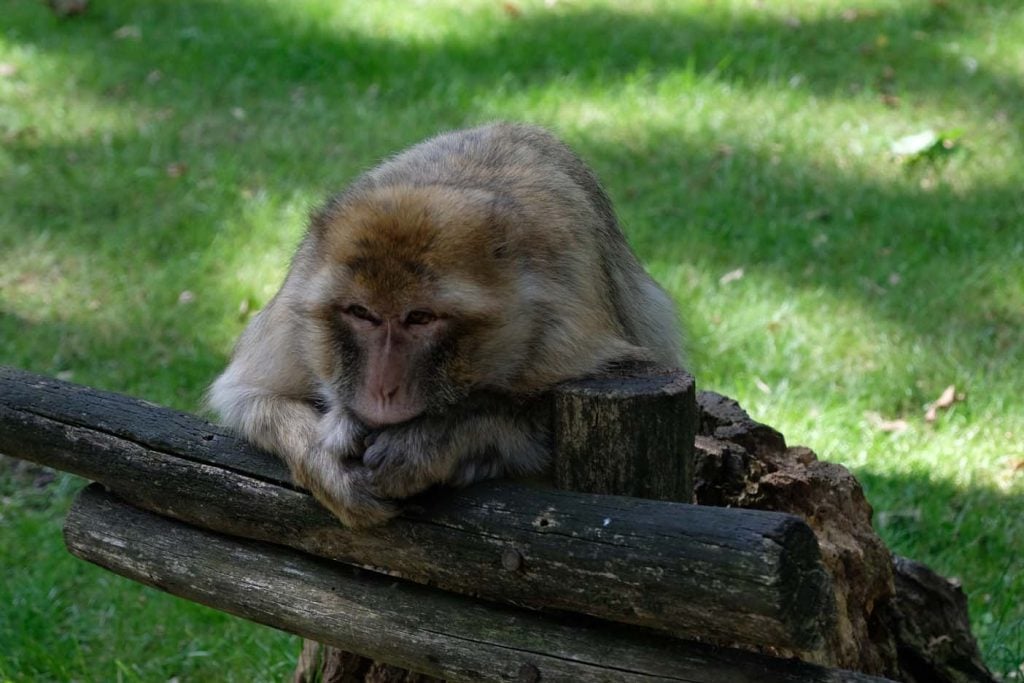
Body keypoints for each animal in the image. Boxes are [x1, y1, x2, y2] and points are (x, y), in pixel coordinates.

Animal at [208, 122, 684, 528]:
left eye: (420, 318)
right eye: (362, 313)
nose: (382, 387)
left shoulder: (563, 330)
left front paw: (437, 441)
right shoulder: (298, 311)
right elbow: (247, 397)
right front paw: (334, 464)